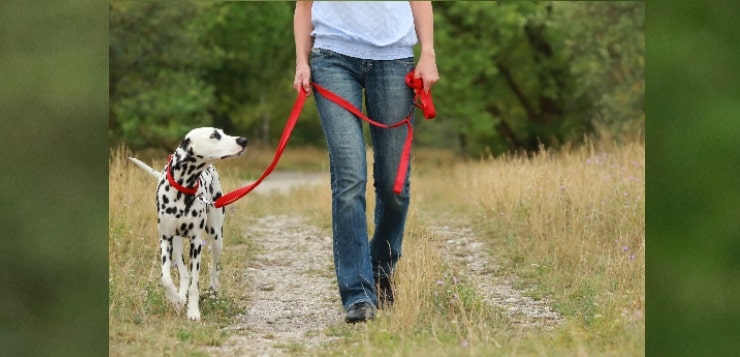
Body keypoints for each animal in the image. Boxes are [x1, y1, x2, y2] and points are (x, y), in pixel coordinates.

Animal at [130, 127, 249, 320]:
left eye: (222, 132)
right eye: (214, 135)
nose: (243, 141)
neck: (182, 189)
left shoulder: (196, 243)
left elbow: (195, 284)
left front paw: (193, 311)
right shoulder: (165, 239)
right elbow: (165, 278)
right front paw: (175, 299)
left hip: (217, 238)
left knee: (214, 269)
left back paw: (213, 293)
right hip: (177, 243)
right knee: (184, 274)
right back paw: (179, 297)